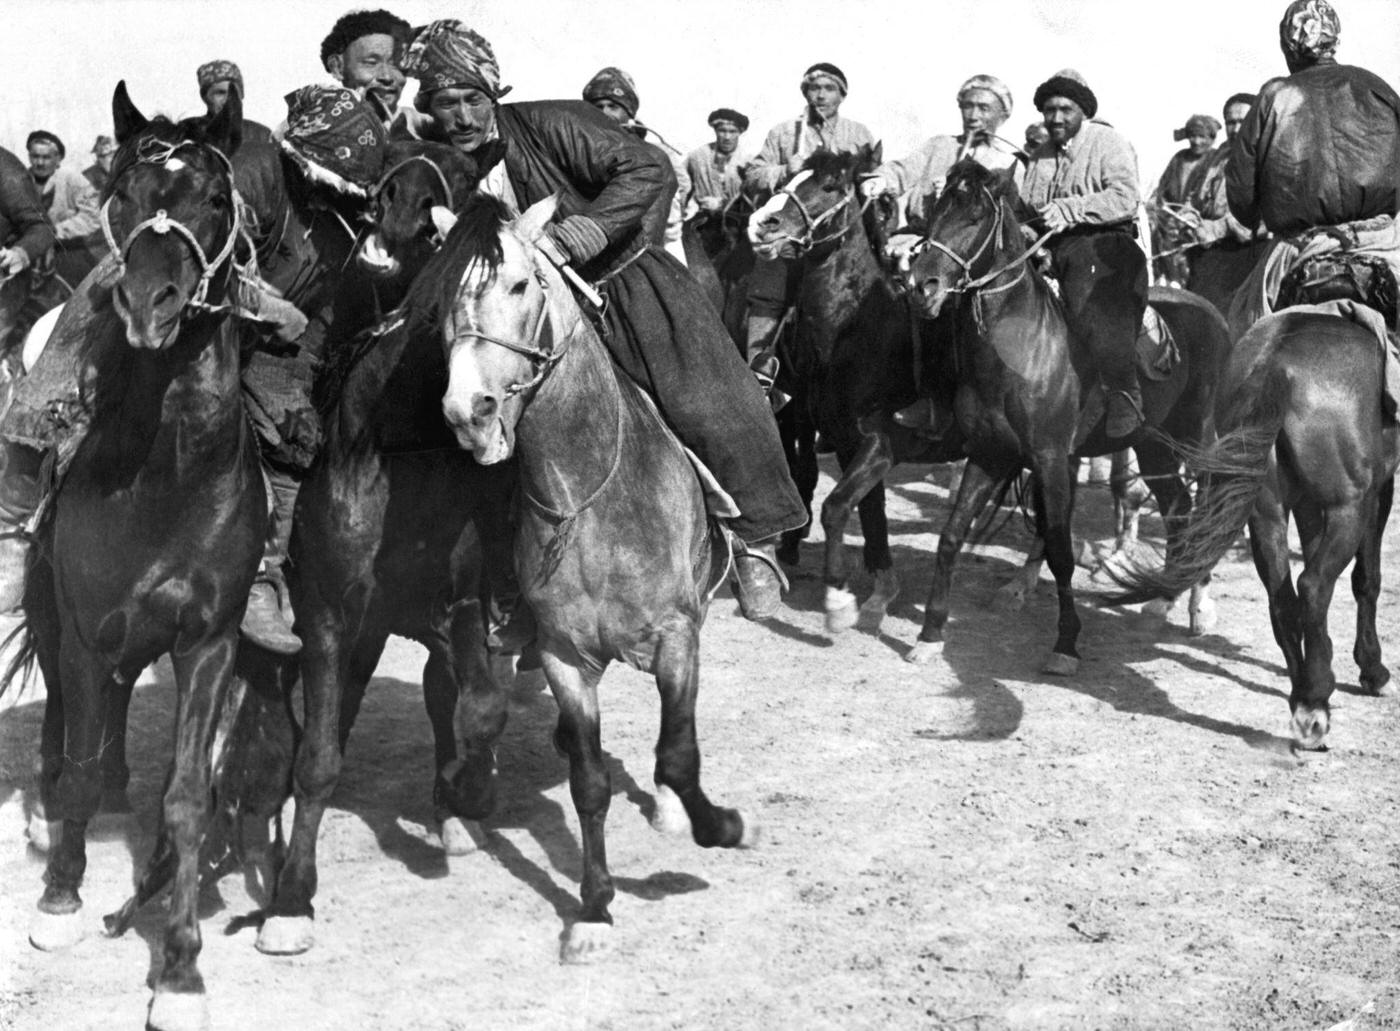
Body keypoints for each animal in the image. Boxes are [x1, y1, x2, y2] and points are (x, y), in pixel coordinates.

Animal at [8, 86, 263, 1031]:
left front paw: (180, 968)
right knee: (66, 733)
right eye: (123, 196)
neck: (166, 474)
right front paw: (60, 899)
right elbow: (78, 766)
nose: (151, 305)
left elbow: (187, 798)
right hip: (54, 620)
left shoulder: (209, 641)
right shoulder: (84, 633)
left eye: (216, 199)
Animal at [434, 194, 756, 963]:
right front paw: (596, 905)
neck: (587, 494)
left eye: (521, 284)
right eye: (442, 297)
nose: (467, 411)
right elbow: (588, 783)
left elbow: (678, 755)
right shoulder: (563, 655)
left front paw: (721, 825)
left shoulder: (677, 637)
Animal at [901, 161, 1232, 672]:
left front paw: (1066, 643)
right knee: (1178, 512)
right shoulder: (990, 455)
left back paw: (1199, 606)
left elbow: (1059, 550)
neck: (1022, 351)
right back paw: (1162, 602)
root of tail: (1212, 313)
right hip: (1153, 448)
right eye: (934, 211)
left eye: (975, 216)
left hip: (1196, 440)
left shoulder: (1052, 459)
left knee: (1201, 513)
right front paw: (931, 632)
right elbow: (951, 536)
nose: (921, 287)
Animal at [1108, 305, 1394, 750]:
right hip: (1349, 505)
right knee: (1313, 586)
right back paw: (1315, 703)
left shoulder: (1306, 504)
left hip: (1265, 511)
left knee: (1283, 596)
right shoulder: (1379, 489)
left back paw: (1304, 696)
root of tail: (1277, 366)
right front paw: (1372, 669)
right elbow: (1367, 579)